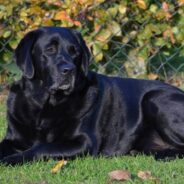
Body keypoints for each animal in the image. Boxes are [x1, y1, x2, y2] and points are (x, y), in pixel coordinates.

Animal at [1, 26, 184, 165]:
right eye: (50, 50)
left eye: (74, 52)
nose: (69, 70)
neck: (44, 104)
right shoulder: (13, 138)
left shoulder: (83, 141)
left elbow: (41, 147)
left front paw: (10, 159)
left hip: (154, 98)